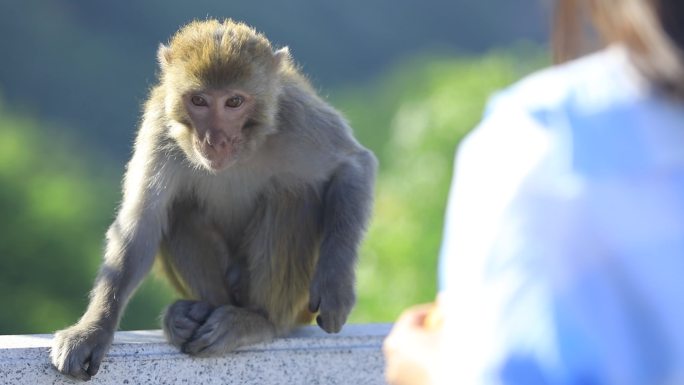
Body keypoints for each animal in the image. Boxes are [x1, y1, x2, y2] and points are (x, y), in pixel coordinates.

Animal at [50, 19, 376, 380]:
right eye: (199, 100)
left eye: (234, 102)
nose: (214, 140)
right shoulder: (159, 127)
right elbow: (141, 223)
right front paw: (92, 330)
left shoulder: (297, 118)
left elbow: (353, 165)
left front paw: (335, 286)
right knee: (179, 210)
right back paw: (194, 314)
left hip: (296, 303)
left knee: (291, 195)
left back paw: (260, 320)